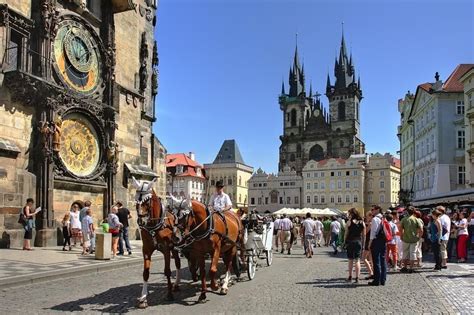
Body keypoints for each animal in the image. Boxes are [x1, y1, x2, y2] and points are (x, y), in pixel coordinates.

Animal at [132, 178, 182, 308]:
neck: (154, 225)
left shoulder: (166, 249)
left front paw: (169, 294)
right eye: (136, 199)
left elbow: (167, 271)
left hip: (174, 249)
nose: (141, 220)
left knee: (178, 264)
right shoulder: (146, 249)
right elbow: (145, 273)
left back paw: (176, 284)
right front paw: (143, 298)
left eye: (147, 200)